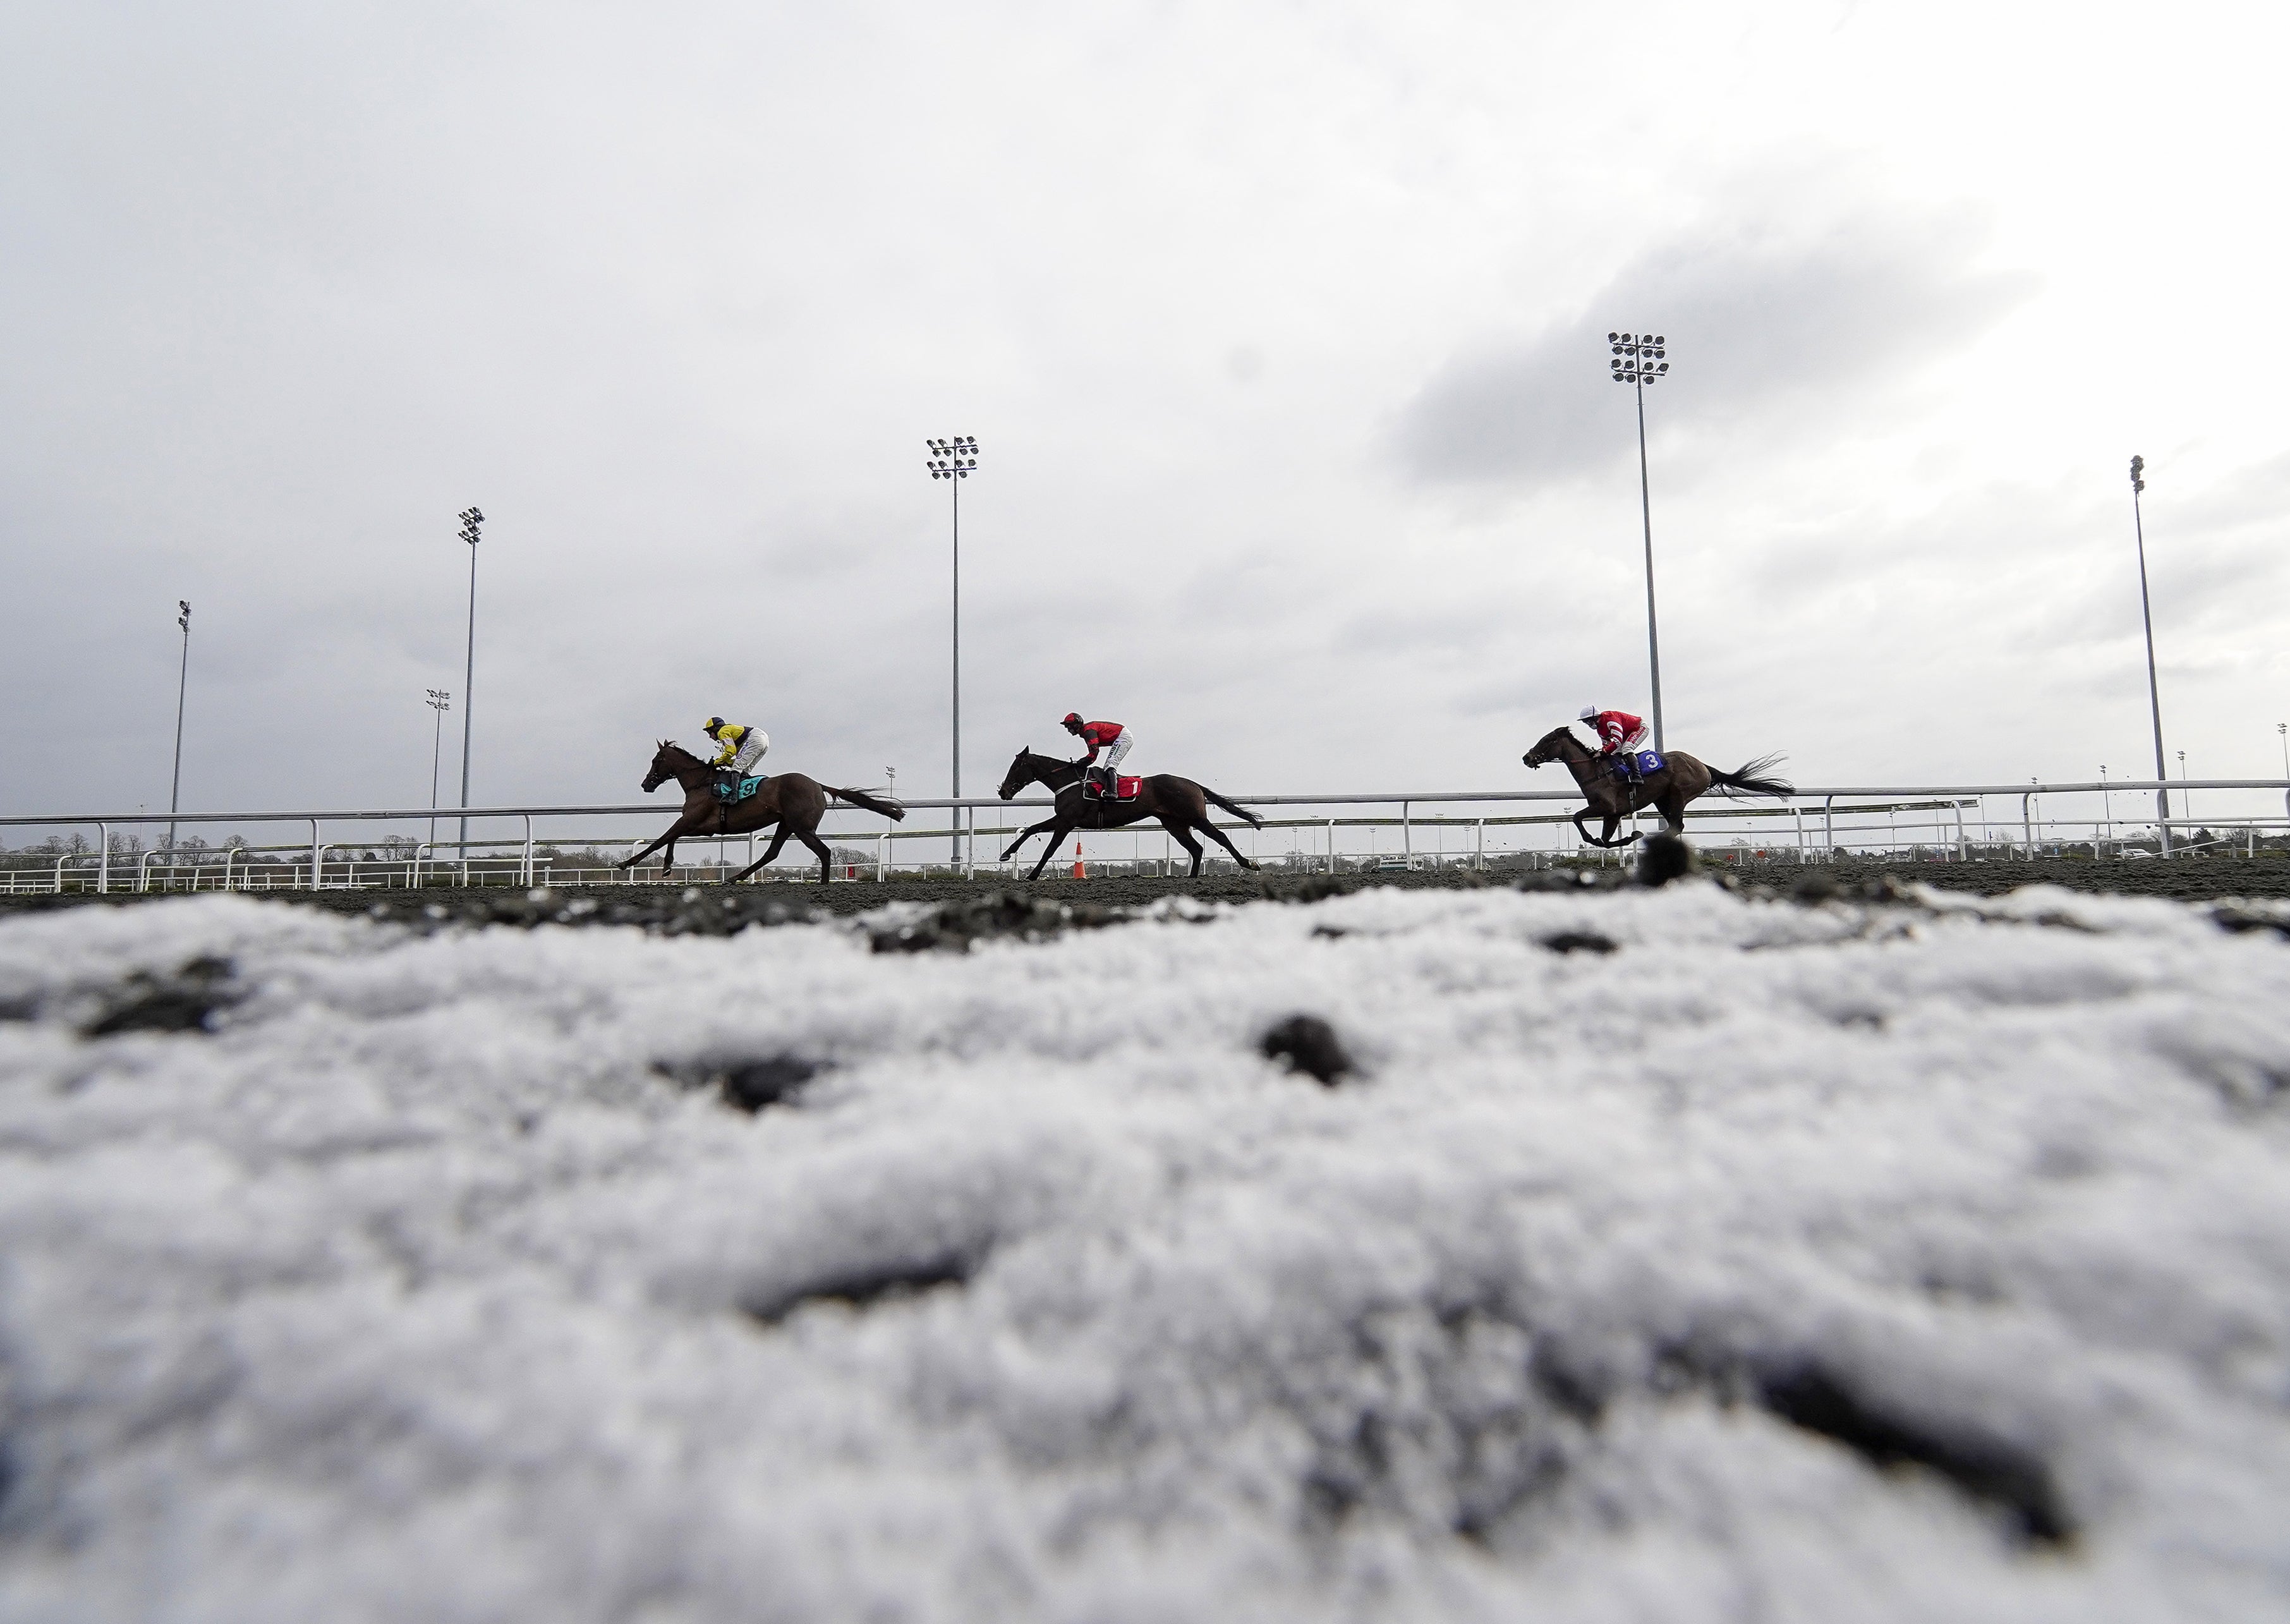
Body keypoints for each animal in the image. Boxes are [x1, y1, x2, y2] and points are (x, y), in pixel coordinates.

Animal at [627, 742, 911, 879]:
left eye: (656, 760)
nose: (645, 784)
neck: (702, 783)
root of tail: (818, 784)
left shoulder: (693, 822)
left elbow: (662, 838)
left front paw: (626, 863)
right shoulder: (698, 826)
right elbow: (670, 839)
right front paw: (666, 867)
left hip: (802, 828)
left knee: (825, 852)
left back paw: (823, 885)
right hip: (786, 824)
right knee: (771, 853)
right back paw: (735, 877)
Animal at [993, 742, 1264, 875]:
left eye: (1015, 767)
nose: (1003, 792)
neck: (1070, 781)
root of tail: (1193, 784)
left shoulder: (1067, 822)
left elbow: (1049, 850)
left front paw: (1032, 875)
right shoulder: (1061, 818)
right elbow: (1031, 830)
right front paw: (1006, 854)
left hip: (1195, 818)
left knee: (1220, 837)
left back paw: (1250, 864)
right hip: (1175, 824)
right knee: (1196, 849)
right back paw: (1192, 877)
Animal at [1529, 724, 1795, 847]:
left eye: (1546, 741)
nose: (1526, 757)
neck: (1595, 771)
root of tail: (1702, 766)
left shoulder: (1606, 807)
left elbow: (1576, 818)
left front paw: (1632, 835)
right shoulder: (1613, 814)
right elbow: (1604, 841)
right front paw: (1627, 837)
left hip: (1678, 794)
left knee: (1676, 826)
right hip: (1662, 799)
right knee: (1676, 826)